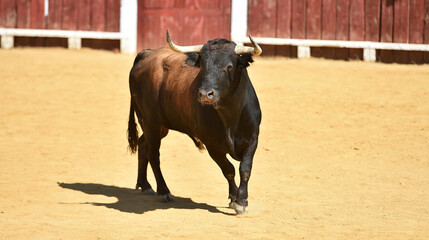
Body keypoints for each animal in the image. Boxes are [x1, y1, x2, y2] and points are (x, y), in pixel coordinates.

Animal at [125, 30, 262, 214]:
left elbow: (245, 169)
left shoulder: (253, 140)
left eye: (229, 67)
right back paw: (163, 191)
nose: (205, 94)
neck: (230, 115)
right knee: (153, 154)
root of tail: (146, 54)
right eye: (202, 66)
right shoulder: (212, 146)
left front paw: (241, 201)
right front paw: (235, 198)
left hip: (158, 126)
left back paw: (145, 185)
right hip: (149, 121)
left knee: (143, 145)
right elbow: (229, 169)